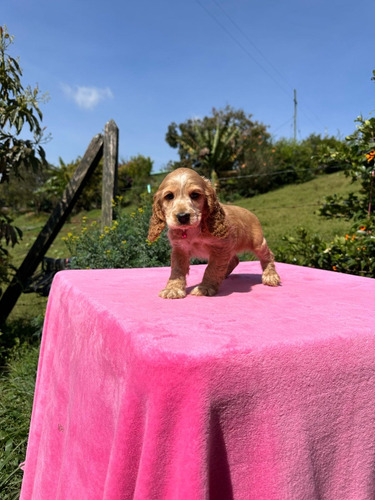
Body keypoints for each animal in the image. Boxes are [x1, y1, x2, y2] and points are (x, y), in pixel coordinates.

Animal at [148, 168, 280, 296]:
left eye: (195, 195)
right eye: (169, 196)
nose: (183, 216)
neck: (193, 230)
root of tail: (250, 213)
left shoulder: (220, 248)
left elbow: (212, 268)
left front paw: (205, 288)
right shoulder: (180, 249)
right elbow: (177, 270)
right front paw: (173, 289)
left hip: (258, 243)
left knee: (267, 255)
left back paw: (270, 276)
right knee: (234, 260)